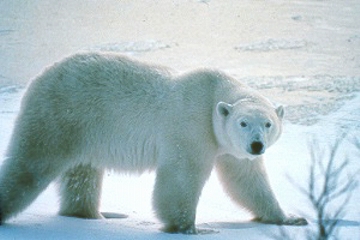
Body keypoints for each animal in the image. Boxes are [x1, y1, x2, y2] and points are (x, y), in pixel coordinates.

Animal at [0, 53, 306, 233]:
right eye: (243, 123)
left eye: (268, 123)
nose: (256, 146)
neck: (213, 94)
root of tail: (38, 78)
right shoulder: (192, 125)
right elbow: (182, 176)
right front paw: (190, 227)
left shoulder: (229, 146)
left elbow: (246, 181)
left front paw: (289, 218)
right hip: (60, 114)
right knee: (30, 165)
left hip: (82, 129)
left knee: (83, 175)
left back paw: (93, 214)